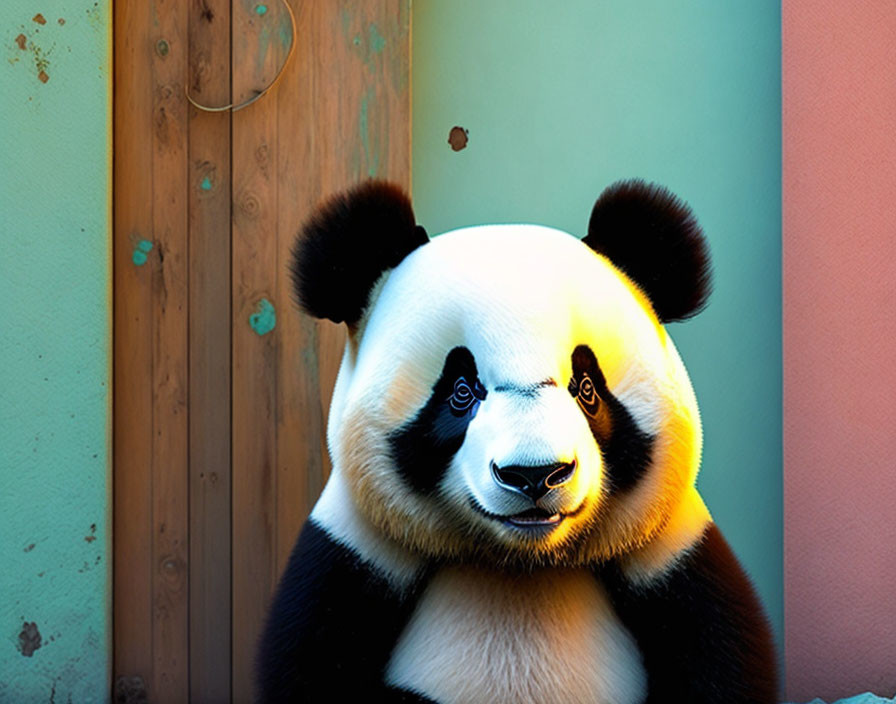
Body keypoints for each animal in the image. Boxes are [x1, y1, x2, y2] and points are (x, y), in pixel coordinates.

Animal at [256, 180, 780, 704]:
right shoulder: (355, 551)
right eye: (461, 391)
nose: (535, 475)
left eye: (586, 387)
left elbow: (722, 653)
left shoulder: (671, 553)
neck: (521, 565)